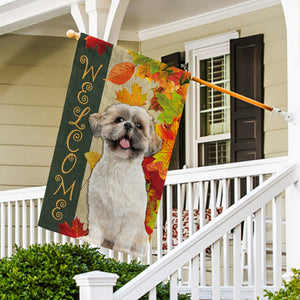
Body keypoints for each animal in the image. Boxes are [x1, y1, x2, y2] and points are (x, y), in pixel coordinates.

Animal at [86, 103, 162, 255]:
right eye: (119, 120)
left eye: (139, 125)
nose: (128, 124)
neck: (118, 167)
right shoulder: (97, 207)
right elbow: (95, 229)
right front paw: (92, 241)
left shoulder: (131, 217)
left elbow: (123, 238)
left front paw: (121, 250)